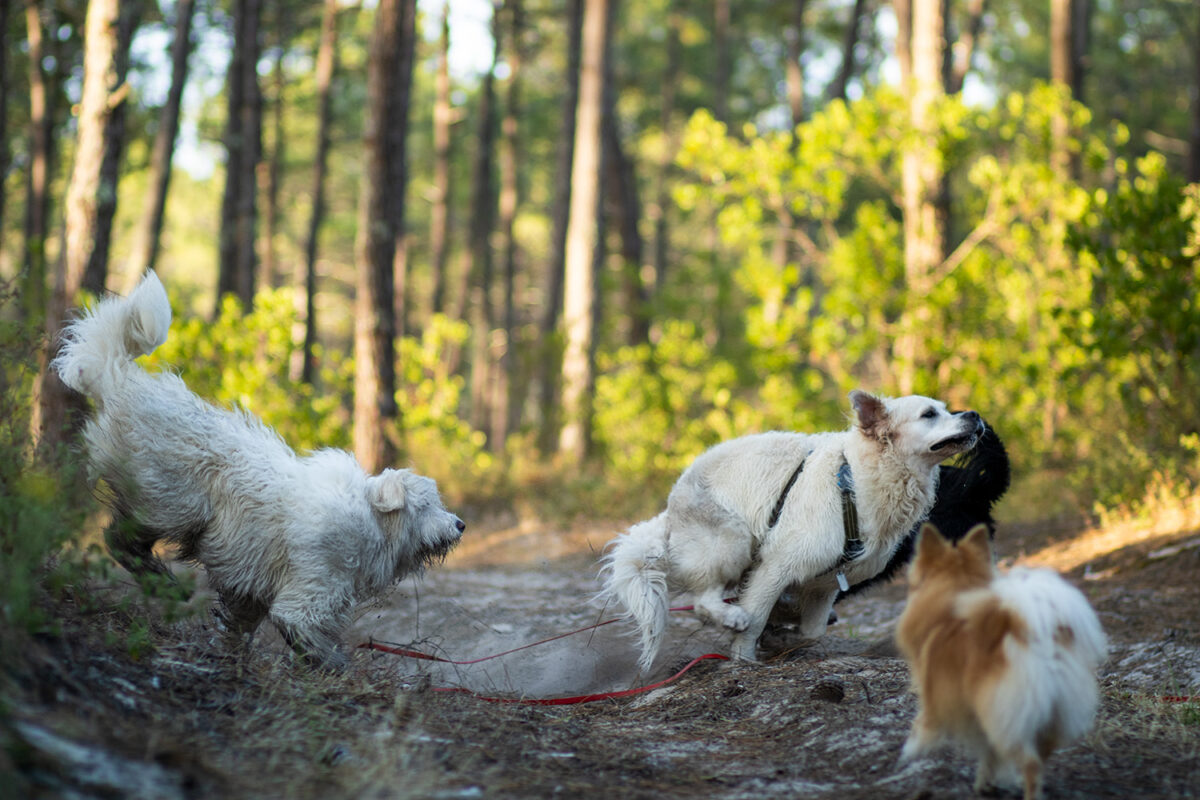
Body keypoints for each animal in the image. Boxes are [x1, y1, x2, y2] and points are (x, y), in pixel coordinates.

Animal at [54, 273, 463, 671]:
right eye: (427, 505)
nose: (460, 525)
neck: (373, 521)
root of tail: (122, 379)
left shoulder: (251, 592)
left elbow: (238, 625)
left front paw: (229, 658)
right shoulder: (308, 595)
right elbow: (314, 641)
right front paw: (337, 673)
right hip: (173, 502)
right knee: (121, 539)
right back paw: (168, 585)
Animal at [600, 388, 984, 671]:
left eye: (946, 409)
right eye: (929, 414)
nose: (974, 415)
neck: (858, 484)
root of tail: (668, 513)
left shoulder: (825, 583)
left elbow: (811, 631)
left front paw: (782, 631)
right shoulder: (777, 564)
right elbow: (757, 618)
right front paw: (745, 656)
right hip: (732, 540)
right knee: (703, 601)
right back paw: (731, 617)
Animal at [902, 525, 1104, 800]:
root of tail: (1037, 643)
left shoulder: (947, 701)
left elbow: (928, 726)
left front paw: (912, 748)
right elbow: (988, 754)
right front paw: (985, 783)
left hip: (1003, 718)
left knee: (1030, 762)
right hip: (1049, 714)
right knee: (1042, 754)